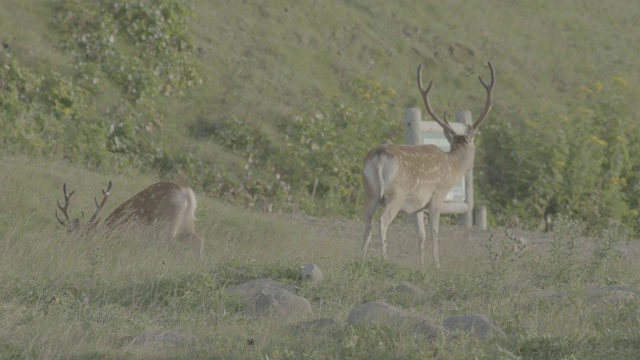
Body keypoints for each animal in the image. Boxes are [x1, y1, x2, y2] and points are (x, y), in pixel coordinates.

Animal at [360, 61, 496, 268]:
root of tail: (379, 155)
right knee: (382, 221)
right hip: (395, 194)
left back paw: (358, 258)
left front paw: (422, 265)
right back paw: (384, 259)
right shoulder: (438, 195)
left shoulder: (417, 206)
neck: (453, 166)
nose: (471, 166)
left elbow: (421, 235)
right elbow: (434, 231)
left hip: (370, 191)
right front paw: (437, 264)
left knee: (367, 221)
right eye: (475, 146)